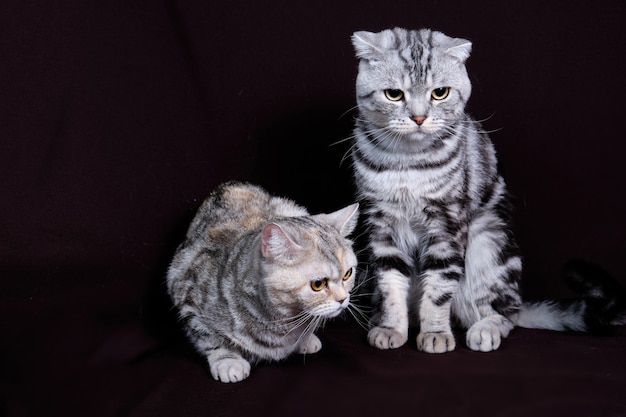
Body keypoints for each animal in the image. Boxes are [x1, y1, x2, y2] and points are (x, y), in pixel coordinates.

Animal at [166, 180, 356, 382]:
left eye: (347, 274)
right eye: (318, 284)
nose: (343, 299)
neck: (286, 323)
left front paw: (305, 339)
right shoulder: (187, 298)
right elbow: (210, 337)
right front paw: (228, 360)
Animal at [348, 26, 620, 352]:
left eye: (440, 93)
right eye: (394, 94)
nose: (419, 118)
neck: (407, 162)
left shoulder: (448, 224)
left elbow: (438, 289)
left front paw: (436, 333)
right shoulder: (381, 225)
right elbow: (390, 284)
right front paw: (391, 327)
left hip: (487, 246)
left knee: (503, 313)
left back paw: (485, 329)